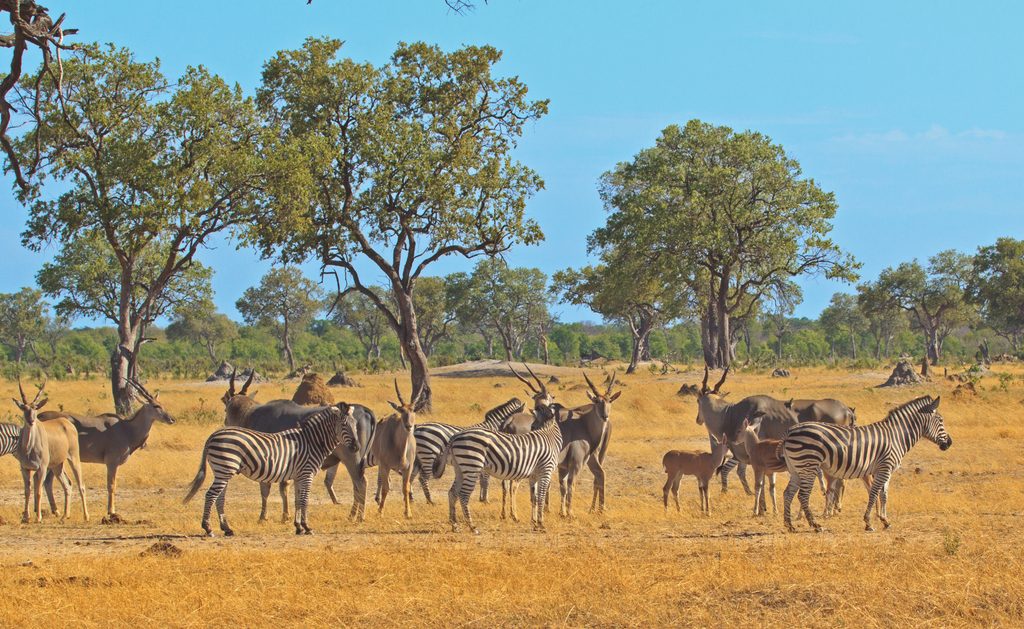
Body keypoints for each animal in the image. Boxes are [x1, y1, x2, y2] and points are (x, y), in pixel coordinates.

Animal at [183, 403, 358, 537]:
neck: (312, 441)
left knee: (219, 498)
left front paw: (298, 527)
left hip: (223, 471)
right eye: (344, 425)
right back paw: (208, 528)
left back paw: (227, 529)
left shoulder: (298, 475)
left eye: (356, 425)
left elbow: (297, 500)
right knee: (210, 495)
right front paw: (307, 527)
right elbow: (304, 500)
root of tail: (213, 435)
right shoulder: (307, 473)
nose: (356, 447)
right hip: (224, 469)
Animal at [433, 412, 563, 534]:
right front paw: (541, 524)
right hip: (472, 466)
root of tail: (455, 436)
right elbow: (541, 497)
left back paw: (455, 525)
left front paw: (535, 523)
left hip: (460, 468)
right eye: (532, 425)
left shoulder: (534, 476)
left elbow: (534, 498)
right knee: (463, 495)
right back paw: (472, 527)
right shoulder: (546, 471)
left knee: (452, 493)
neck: (550, 436)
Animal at [782, 395, 952, 533]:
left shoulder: (883, 470)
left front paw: (885, 521)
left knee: (788, 493)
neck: (896, 436)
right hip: (808, 465)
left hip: (796, 469)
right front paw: (869, 523)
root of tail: (790, 431)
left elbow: (884, 495)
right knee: (802, 495)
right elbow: (874, 493)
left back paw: (789, 525)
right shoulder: (885, 468)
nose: (949, 443)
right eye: (941, 420)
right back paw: (816, 525)